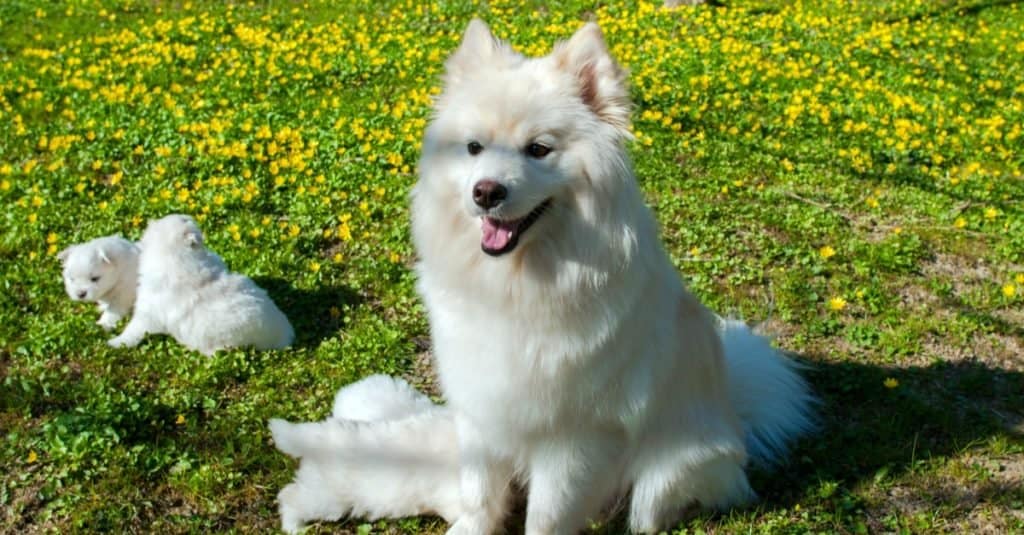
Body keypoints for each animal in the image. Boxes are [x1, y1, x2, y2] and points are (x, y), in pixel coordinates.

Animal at [108, 212, 292, 354]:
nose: (189, 216)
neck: (177, 257)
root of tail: (286, 333)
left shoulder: (147, 313)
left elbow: (132, 331)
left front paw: (114, 342)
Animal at [272, 18, 815, 532]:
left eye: (538, 149)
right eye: (473, 148)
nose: (486, 192)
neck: (518, 285)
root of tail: (733, 410)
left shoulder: (572, 436)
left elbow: (547, 515)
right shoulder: (480, 408)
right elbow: (479, 492)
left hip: (667, 472)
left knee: (653, 508)